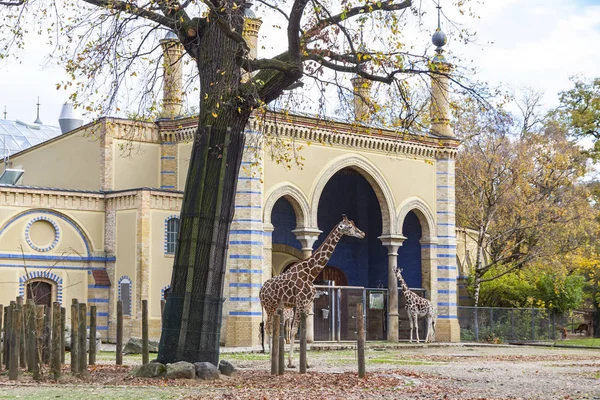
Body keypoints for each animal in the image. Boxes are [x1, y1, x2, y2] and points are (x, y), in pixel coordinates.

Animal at [258, 214, 366, 368]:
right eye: (350, 226)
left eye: (354, 224)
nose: (362, 233)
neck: (310, 273)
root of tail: (260, 291)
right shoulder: (301, 302)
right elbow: (294, 331)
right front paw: (291, 362)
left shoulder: (307, 303)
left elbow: (303, 331)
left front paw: (306, 363)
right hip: (270, 306)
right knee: (267, 328)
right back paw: (271, 360)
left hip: (275, 307)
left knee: (270, 327)